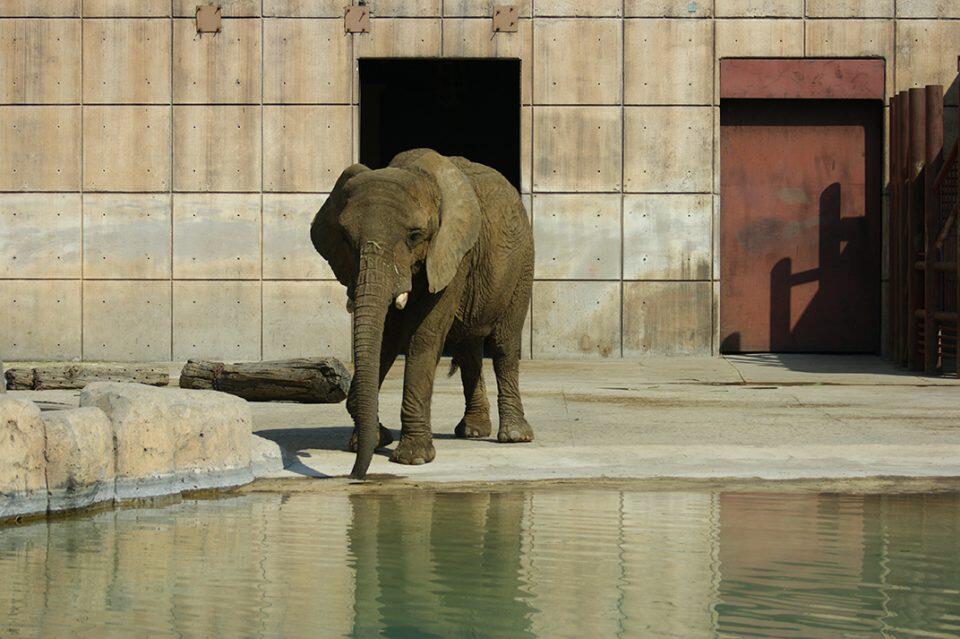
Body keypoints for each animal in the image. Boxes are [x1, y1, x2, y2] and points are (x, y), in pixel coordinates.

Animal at [314, 151, 532, 480]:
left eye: (415, 235)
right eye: (346, 238)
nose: (354, 476)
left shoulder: (452, 252)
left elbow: (424, 335)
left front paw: (413, 459)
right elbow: (386, 337)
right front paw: (371, 440)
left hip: (522, 265)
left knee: (503, 345)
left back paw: (515, 436)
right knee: (468, 350)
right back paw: (473, 431)